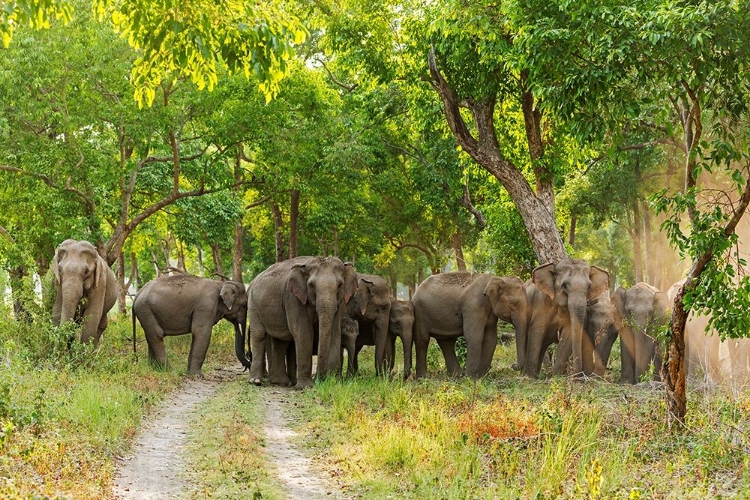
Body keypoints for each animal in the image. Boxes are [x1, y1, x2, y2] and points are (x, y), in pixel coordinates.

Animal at [245, 256, 360, 388]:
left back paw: (282, 382)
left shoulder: (338, 305)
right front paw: (306, 386)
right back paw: (256, 381)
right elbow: (303, 333)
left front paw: (333, 383)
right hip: (252, 303)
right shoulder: (293, 298)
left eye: (340, 285)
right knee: (259, 335)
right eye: (311, 285)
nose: (319, 379)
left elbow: (335, 333)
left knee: (280, 340)